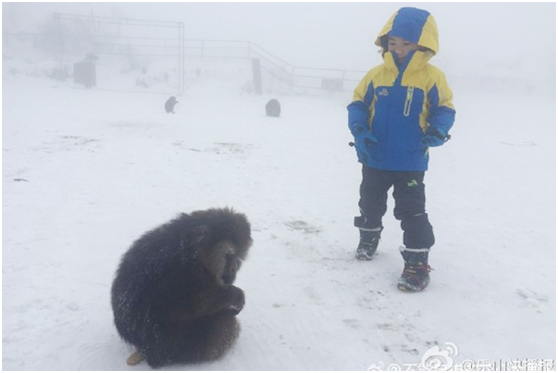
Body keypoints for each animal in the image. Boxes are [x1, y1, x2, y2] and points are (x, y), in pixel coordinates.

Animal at [110, 208, 254, 368]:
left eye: (239, 256)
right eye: (229, 254)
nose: (234, 268)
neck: (194, 251)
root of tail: (145, 351)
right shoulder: (182, 273)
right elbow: (183, 306)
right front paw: (234, 295)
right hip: (177, 344)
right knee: (226, 324)